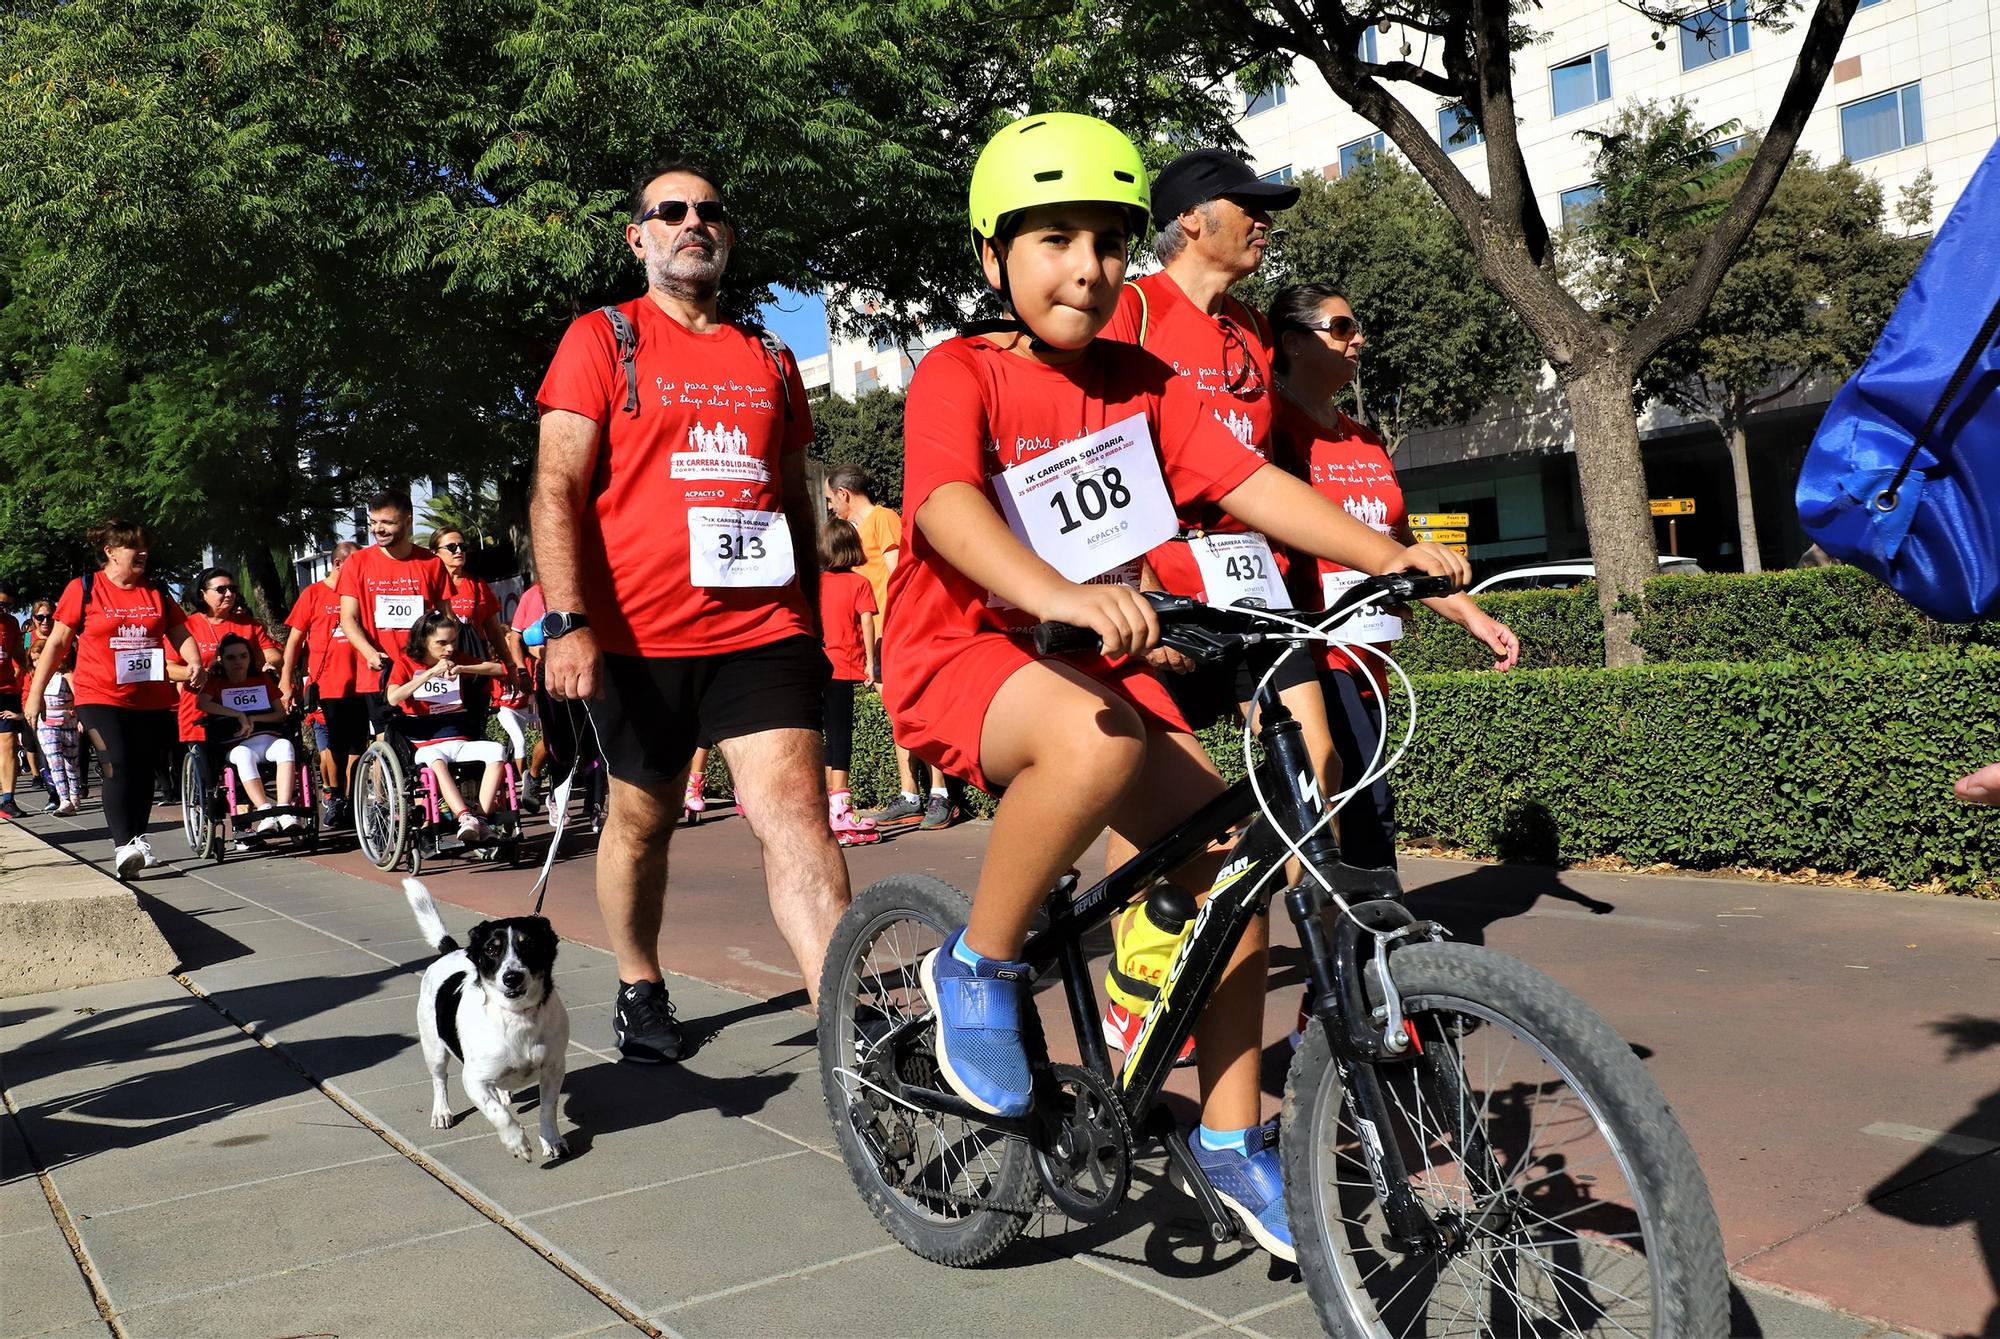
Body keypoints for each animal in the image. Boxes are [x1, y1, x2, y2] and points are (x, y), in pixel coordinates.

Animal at [400, 879, 572, 1167]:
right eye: (491, 949)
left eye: (529, 946)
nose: (512, 978)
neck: (516, 1015)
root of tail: (454, 950)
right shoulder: (474, 1080)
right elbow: (497, 1113)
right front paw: (516, 1142)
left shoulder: (554, 1069)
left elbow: (548, 1109)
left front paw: (552, 1140)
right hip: (434, 1049)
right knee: (439, 1080)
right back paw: (442, 1111)